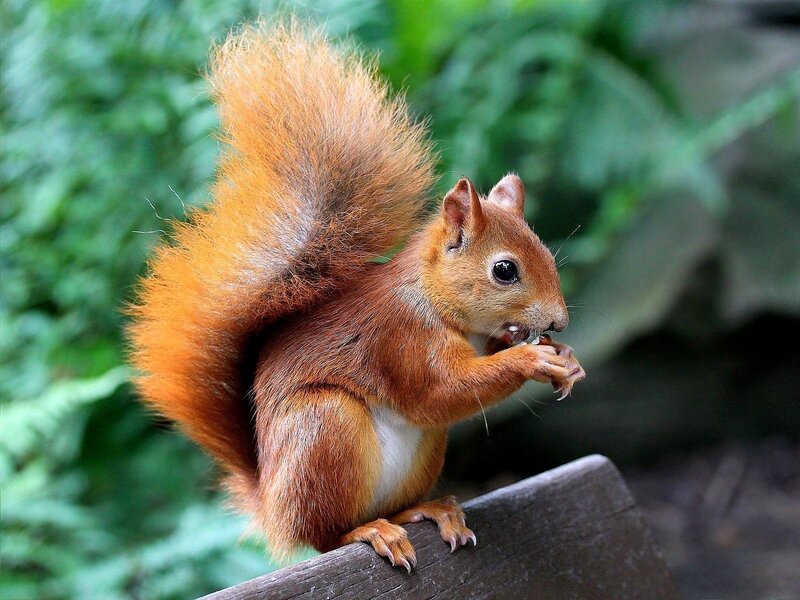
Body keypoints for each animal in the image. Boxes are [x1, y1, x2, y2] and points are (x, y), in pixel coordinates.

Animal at [128, 21, 585, 571]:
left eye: (546, 255)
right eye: (504, 270)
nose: (558, 323)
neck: (437, 303)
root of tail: (273, 505)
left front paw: (565, 358)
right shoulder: (400, 338)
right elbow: (441, 391)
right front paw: (533, 360)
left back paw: (428, 511)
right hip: (326, 427)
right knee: (326, 534)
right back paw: (370, 532)